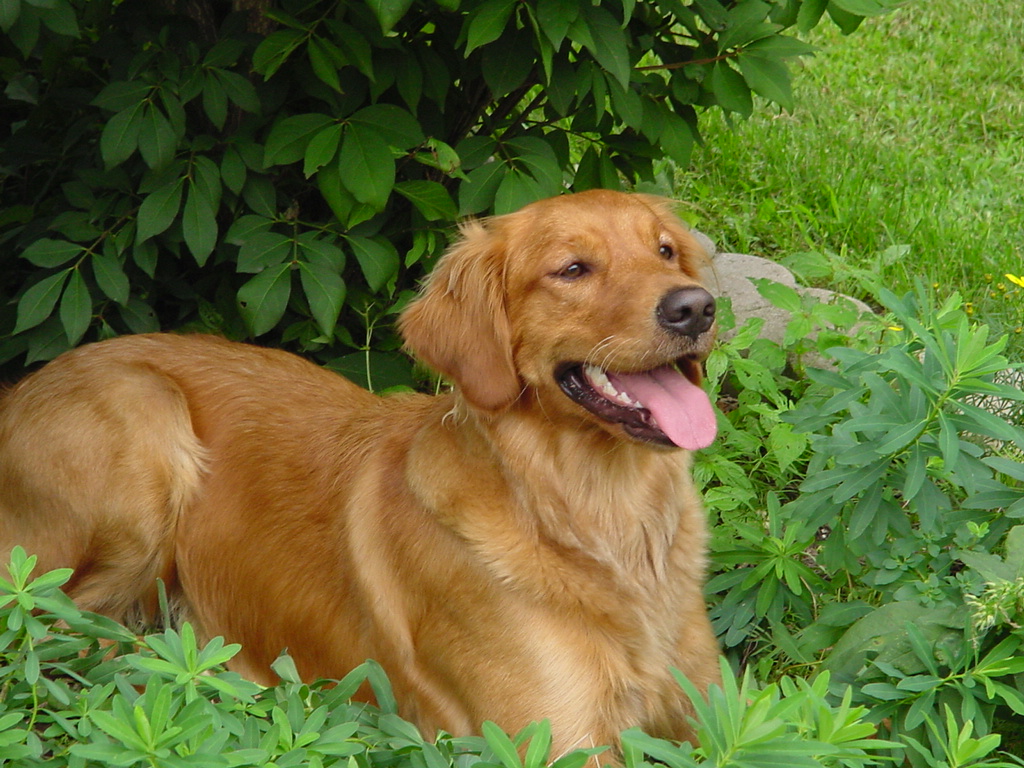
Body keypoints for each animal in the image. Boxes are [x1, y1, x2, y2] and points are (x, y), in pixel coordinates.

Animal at [0, 189, 720, 753]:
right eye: (572, 269)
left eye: (664, 251)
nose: (696, 307)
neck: (608, 516)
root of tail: (16, 387)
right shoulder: (553, 737)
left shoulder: (707, 710)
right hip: (143, 422)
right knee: (57, 635)